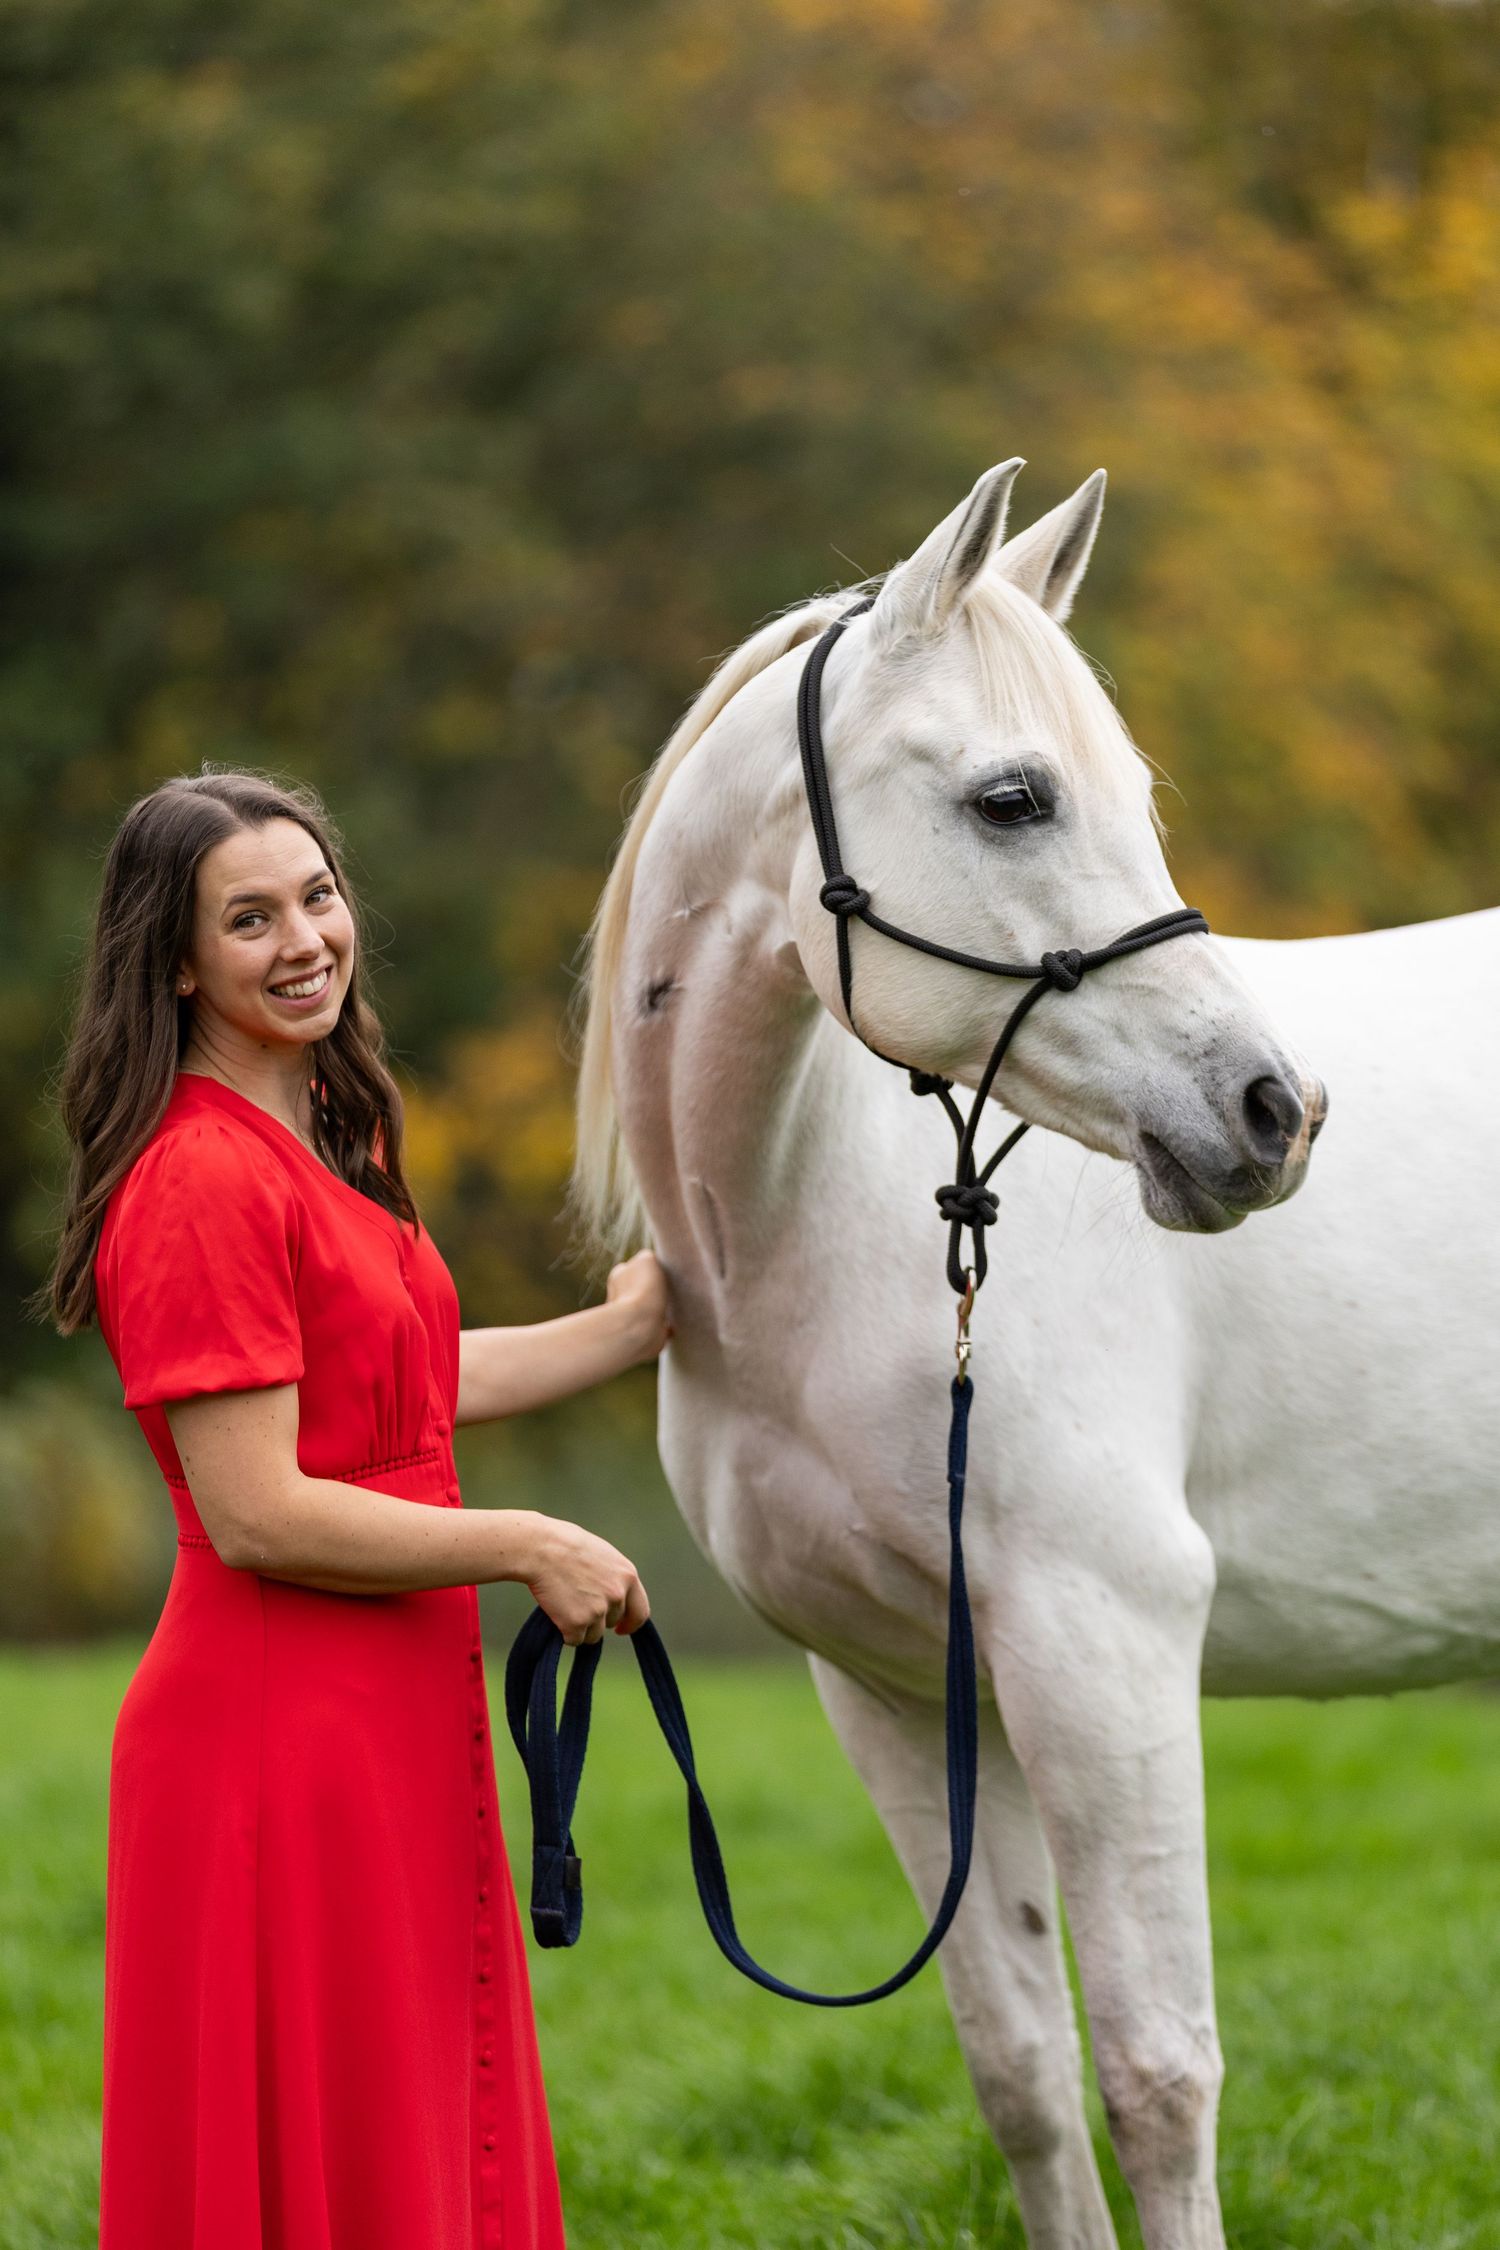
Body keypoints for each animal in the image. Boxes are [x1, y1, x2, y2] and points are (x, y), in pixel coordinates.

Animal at [566, 457, 1500, 2250]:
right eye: (1014, 799)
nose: (1275, 1114)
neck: (817, 1226)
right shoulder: (890, 1687)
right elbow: (1023, 2070)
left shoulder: (1104, 1647)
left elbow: (1157, 2071)